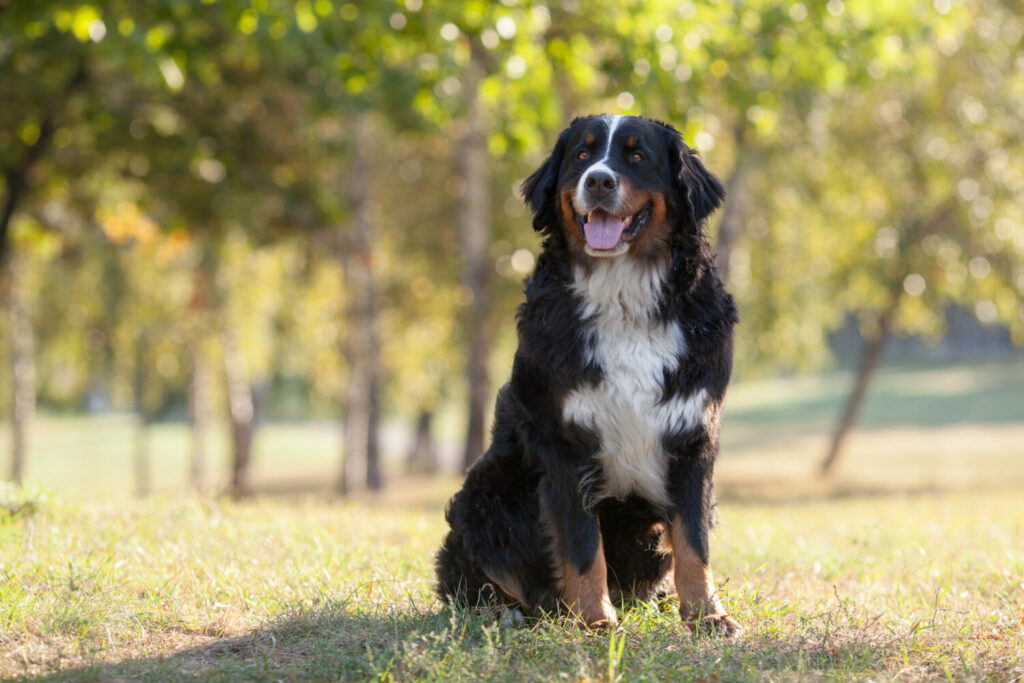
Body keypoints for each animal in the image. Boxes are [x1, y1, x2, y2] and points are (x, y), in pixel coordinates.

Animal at [436, 116, 741, 634]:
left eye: (637, 156)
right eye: (582, 155)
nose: (599, 181)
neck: (623, 296)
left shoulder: (693, 439)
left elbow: (693, 543)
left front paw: (706, 614)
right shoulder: (563, 442)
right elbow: (582, 547)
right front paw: (597, 621)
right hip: (486, 495)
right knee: (476, 580)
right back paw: (507, 612)